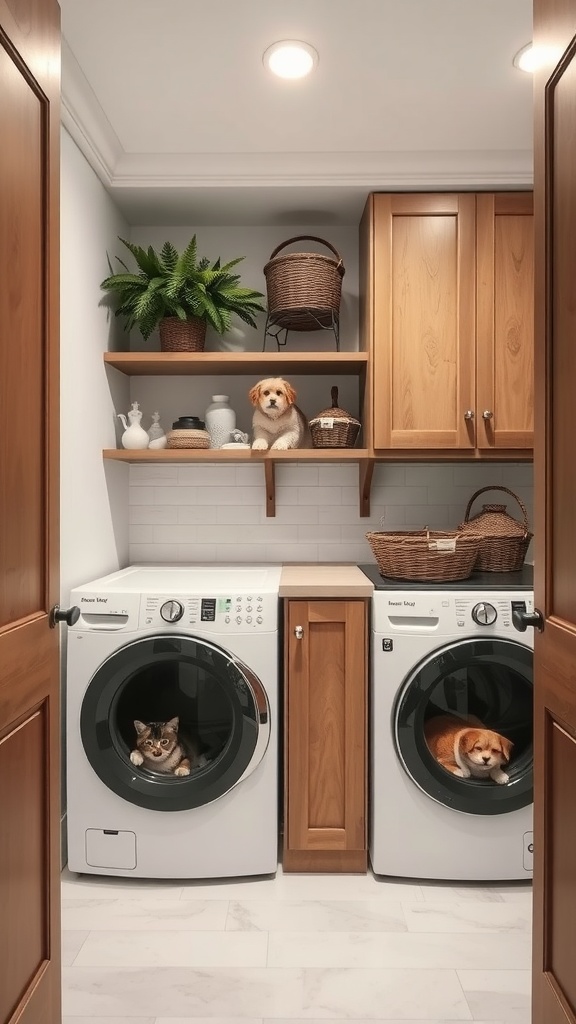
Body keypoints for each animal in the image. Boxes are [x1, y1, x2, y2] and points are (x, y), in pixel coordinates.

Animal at [66, 565, 280, 876]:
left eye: (165, 741)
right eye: (150, 743)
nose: (156, 751)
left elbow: (184, 763)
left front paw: (181, 769)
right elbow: (136, 753)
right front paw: (138, 758)